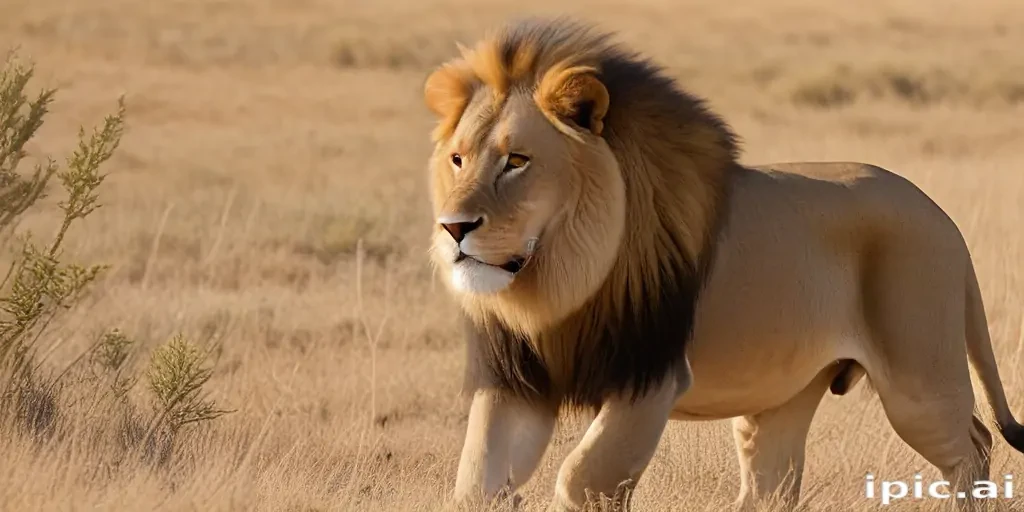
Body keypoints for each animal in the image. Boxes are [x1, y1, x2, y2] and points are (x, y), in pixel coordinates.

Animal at [421, 17, 1024, 511]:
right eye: (458, 159)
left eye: (517, 161)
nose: (453, 227)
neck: (555, 283)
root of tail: (940, 215)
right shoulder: (516, 384)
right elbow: (476, 484)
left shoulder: (653, 378)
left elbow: (582, 478)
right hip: (784, 394)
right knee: (772, 487)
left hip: (917, 380)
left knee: (972, 446)